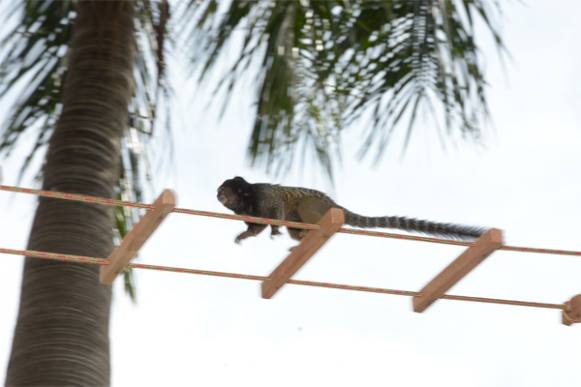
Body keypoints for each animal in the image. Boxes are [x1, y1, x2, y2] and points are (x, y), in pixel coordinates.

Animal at [215, 177, 482, 244]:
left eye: (224, 190)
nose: (218, 195)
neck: (247, 199)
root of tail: (333, 204)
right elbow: (255, 225)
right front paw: (246, 235)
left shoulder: (263, 195)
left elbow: (276, 208)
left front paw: (274, 230)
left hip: (320, 207)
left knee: (302, 204)